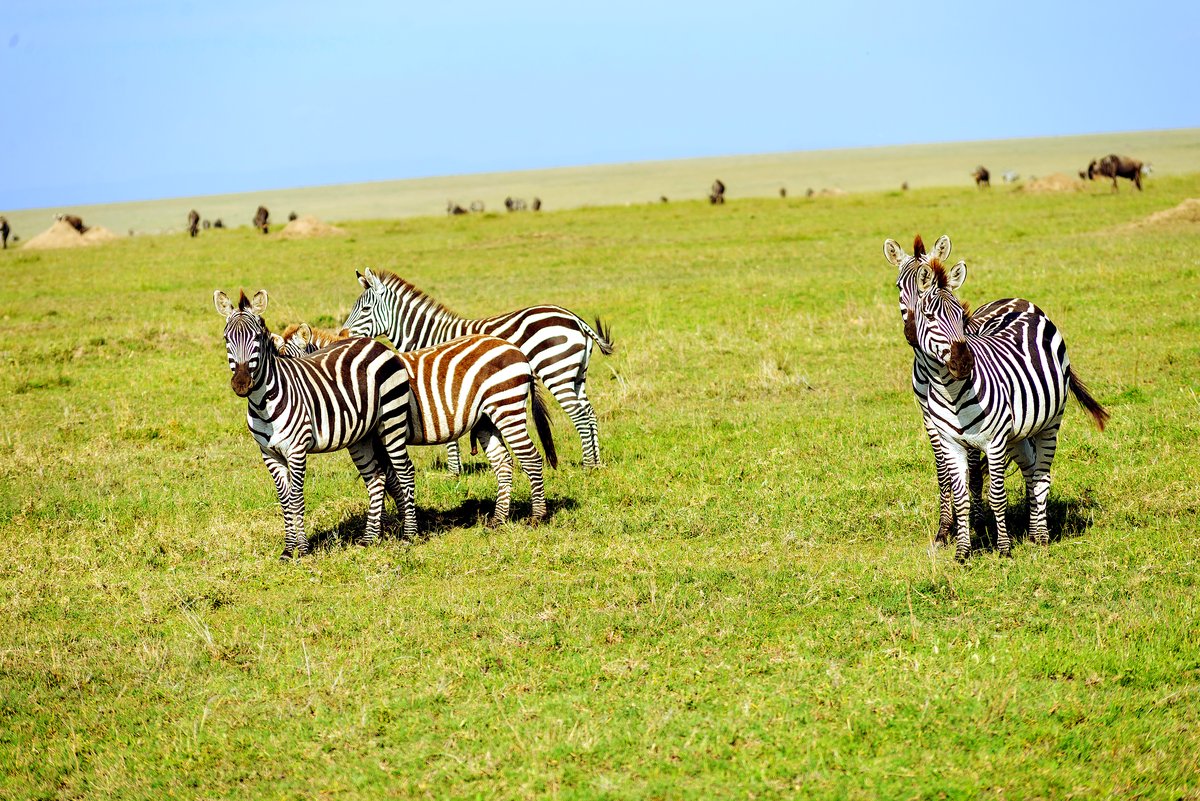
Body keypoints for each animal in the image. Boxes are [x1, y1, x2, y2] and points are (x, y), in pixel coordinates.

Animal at [214, 290, 417, 559]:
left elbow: (296, 499)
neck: (262, 403)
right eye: (227, 338)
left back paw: (409, 536)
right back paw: (369, 539)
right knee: (377, 478)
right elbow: (284, 500)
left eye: (256, 337)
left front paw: (302, 549)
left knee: (405, 471)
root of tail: (373, 343)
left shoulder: (297, 449)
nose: (241, 383)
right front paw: (288, 550)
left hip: (392, 420)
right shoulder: (269, 454)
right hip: (362, 435)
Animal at [274, 323, 558, 525]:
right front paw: (398, 519)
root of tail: (515, 349)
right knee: (504, 463)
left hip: (506, 407)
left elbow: (389, 478)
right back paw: (499, 519)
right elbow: (388, 478)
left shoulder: (380, 435)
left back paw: (537, 516)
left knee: (531, 457)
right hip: (486, 419)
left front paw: (395, 522)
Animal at [342, 268, 614, 472]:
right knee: (589, 413)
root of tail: (574, 318)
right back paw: (597, 463)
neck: (429, 336)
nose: (343, 335)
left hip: (557, 372)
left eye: (365, 310)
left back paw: (587, 465)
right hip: (577, 376)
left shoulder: (441, 383)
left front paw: (454, 472)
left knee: (579, 414)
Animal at [908, 257, 1109, 560]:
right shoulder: (952, 443)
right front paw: (962, 552)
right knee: (1031, 472)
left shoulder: (993, 442)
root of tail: (1023, 306)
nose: (964, 363)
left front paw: (1003, 549)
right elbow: (961, 497)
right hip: (1018, 434)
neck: (950, 391)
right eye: (929, 317)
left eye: (962, 317)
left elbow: (997, 496)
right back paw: (1032, 530)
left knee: (1042, 477)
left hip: (1050, 424)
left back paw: (1041, 537)